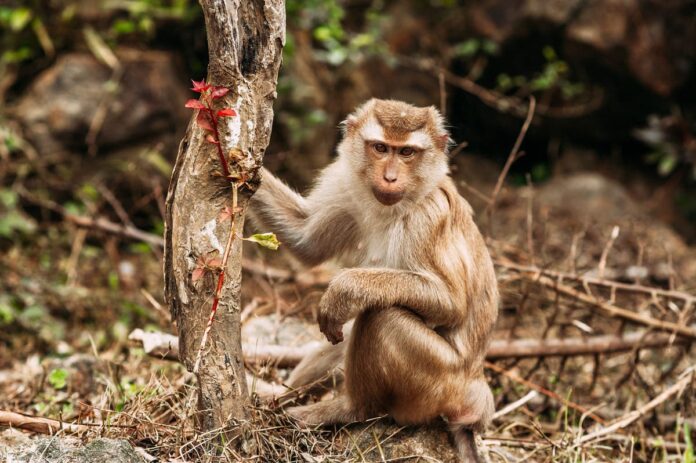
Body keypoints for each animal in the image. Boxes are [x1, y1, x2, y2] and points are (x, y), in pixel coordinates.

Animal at [250, 99, 499, 462]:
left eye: (407, 152)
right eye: (381, 148)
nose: (390, 176)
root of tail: (473, 393)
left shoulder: (429, 215)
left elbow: (450, 301)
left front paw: (343, 289)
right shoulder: (345, 187)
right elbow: (305, 239)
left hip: (438, 384)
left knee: (381, 317)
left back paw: (348, 409)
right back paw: (279, 396)